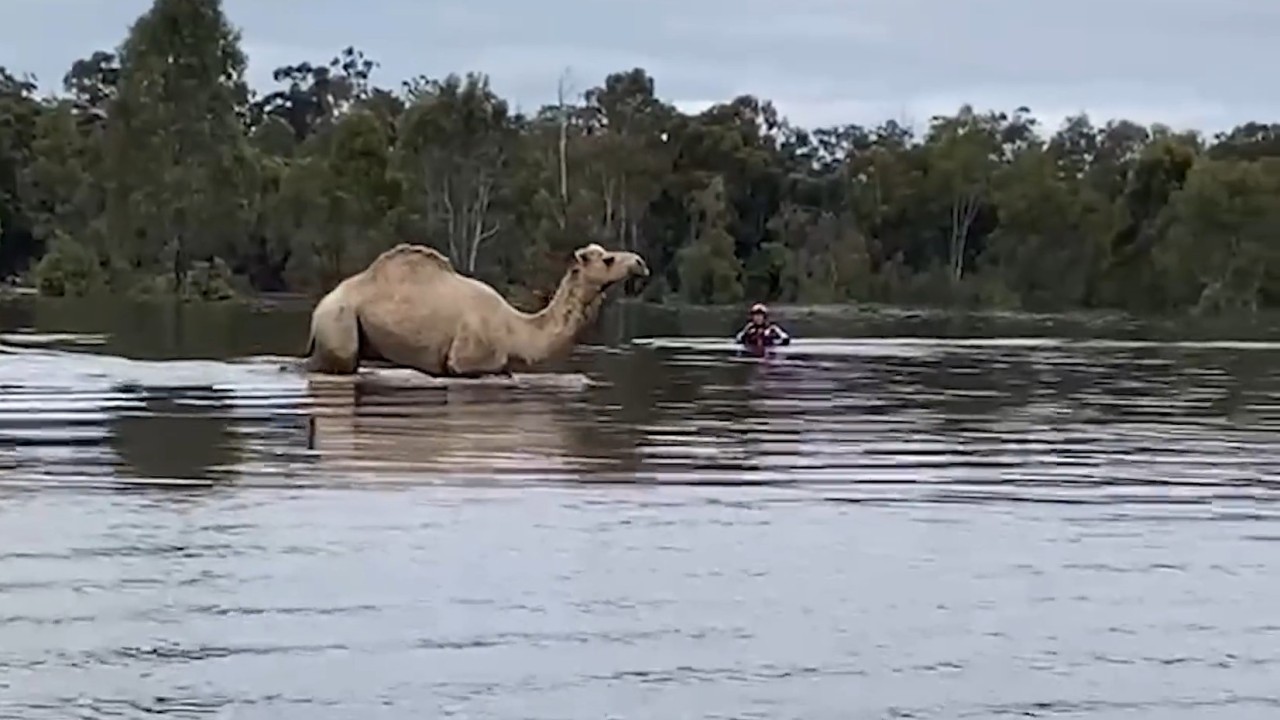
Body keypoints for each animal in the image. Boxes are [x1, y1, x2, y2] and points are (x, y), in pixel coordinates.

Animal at [300, 240, 650, 376]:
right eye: (608, 259)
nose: (640, 262)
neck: (516, 331)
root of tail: (321, 305)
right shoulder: (469, 362)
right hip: (339, 324)